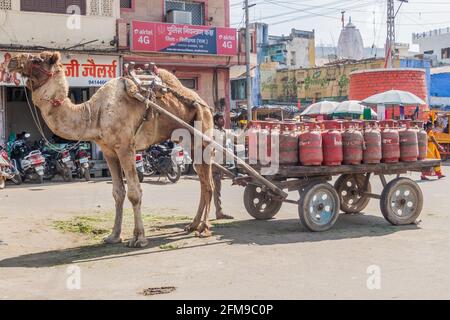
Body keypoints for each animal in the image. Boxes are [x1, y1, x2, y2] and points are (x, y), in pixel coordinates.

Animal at [6, 52, 218, 248]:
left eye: (37, 59)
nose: (11, 60)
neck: (95, 114)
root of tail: (206, 104)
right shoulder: (108, 151)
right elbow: (118, 192)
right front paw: (113, 236)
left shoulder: (126, 147)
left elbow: (134, 193)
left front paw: (139, 238)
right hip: (188, 139)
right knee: (202, 180)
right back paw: (193, 225)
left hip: (202, 132)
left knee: (208, 184)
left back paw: (203, 228)